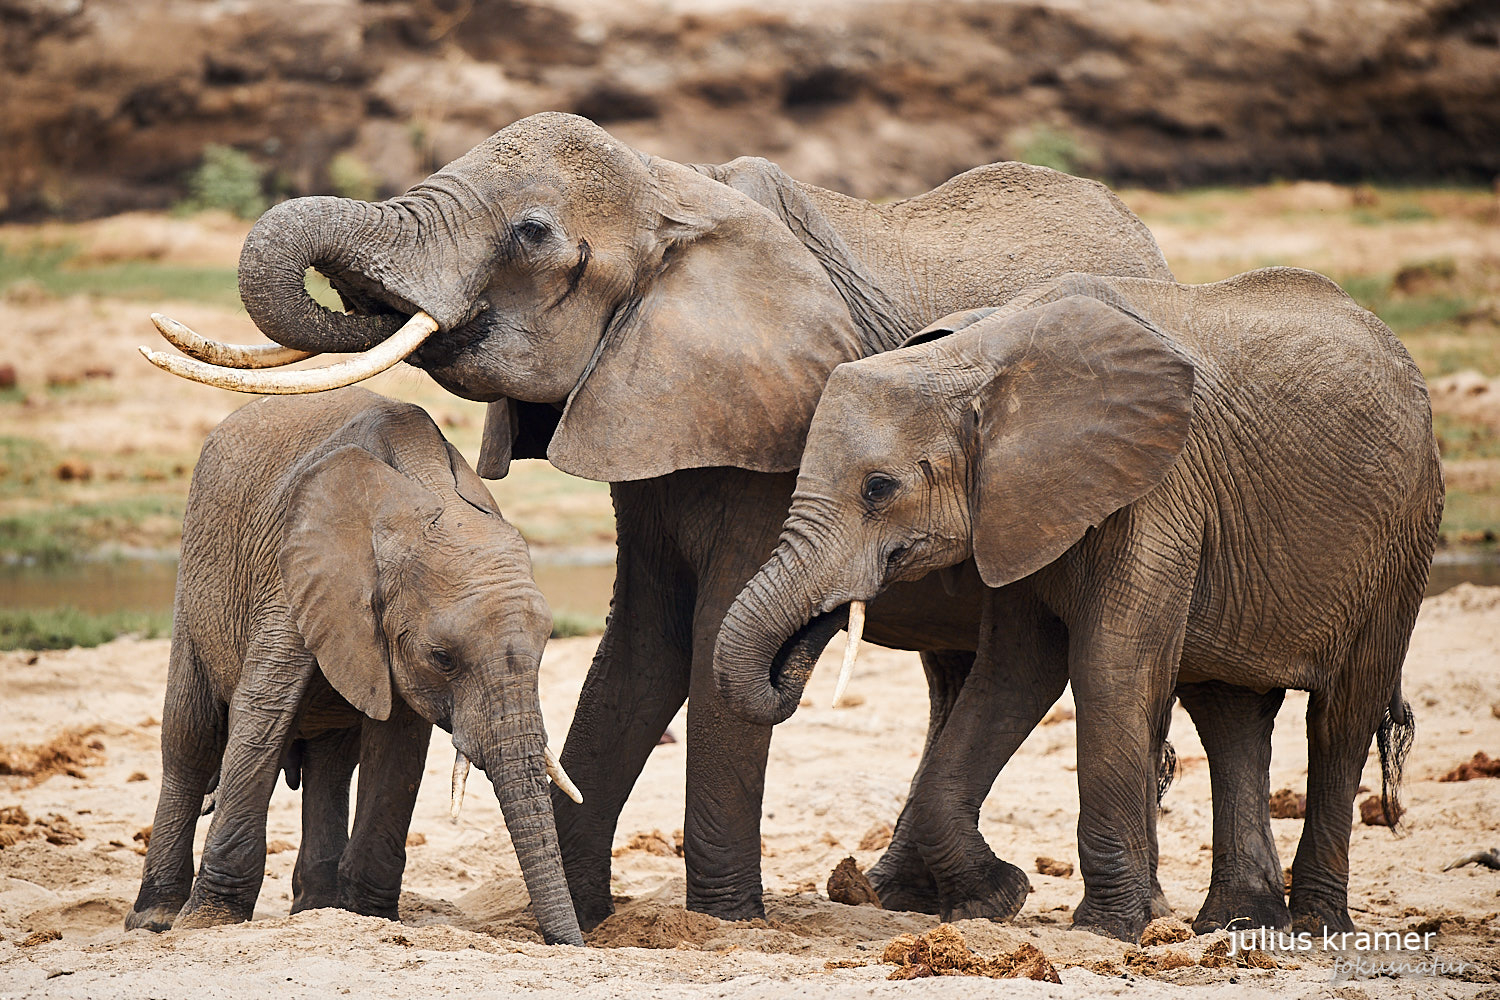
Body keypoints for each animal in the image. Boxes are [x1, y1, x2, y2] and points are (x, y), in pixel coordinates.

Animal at [127, 386, 585, 941]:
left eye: (545, 648)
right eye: (443, 658)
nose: (571, 945)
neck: (419, 495)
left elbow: (398, 750)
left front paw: (368, 916)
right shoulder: (293, 582)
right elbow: (261, 719)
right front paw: (206, 924)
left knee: (331, 762)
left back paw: (318, 911)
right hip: (195, 584)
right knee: (189, 743)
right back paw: (156, 918)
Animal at [714, 269, 1440, 941]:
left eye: (878, 489)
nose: (810, 637)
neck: (975, 360)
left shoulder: (1154, 491)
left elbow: (1107, 671)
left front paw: (1105, 930)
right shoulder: (1020, 508)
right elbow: (1011, 676)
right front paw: (998, 899)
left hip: (1403, 537)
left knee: (1342, 716)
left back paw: (1317, 928)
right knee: (1231, 715)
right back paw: (1239, 925)